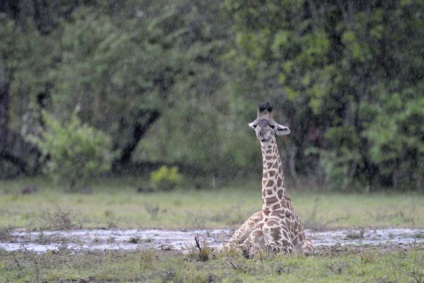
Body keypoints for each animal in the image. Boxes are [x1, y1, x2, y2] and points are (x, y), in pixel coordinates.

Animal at [227, 102, 314, 260]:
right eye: (255, 125)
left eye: (273, 126)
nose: (261, 134)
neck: (270, 206)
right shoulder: (253, 238)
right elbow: (237, 248)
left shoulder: (287, 246)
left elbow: (256, 249)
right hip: (244, 226)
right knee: (227, 244)